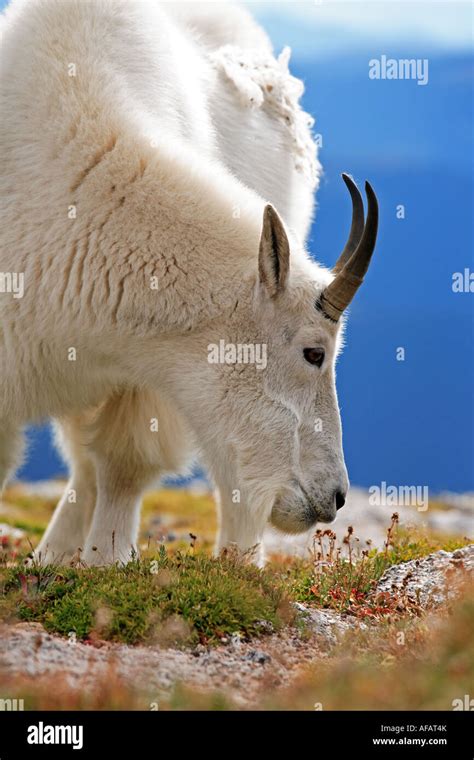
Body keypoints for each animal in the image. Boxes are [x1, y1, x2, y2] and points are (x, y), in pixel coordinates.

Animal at [0, 0, 378, 564]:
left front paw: (106, 564)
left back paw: (237, 569)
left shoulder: (149, 369)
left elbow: (124, 462)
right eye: (315, 353)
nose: (334, 496)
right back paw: (52, 559)